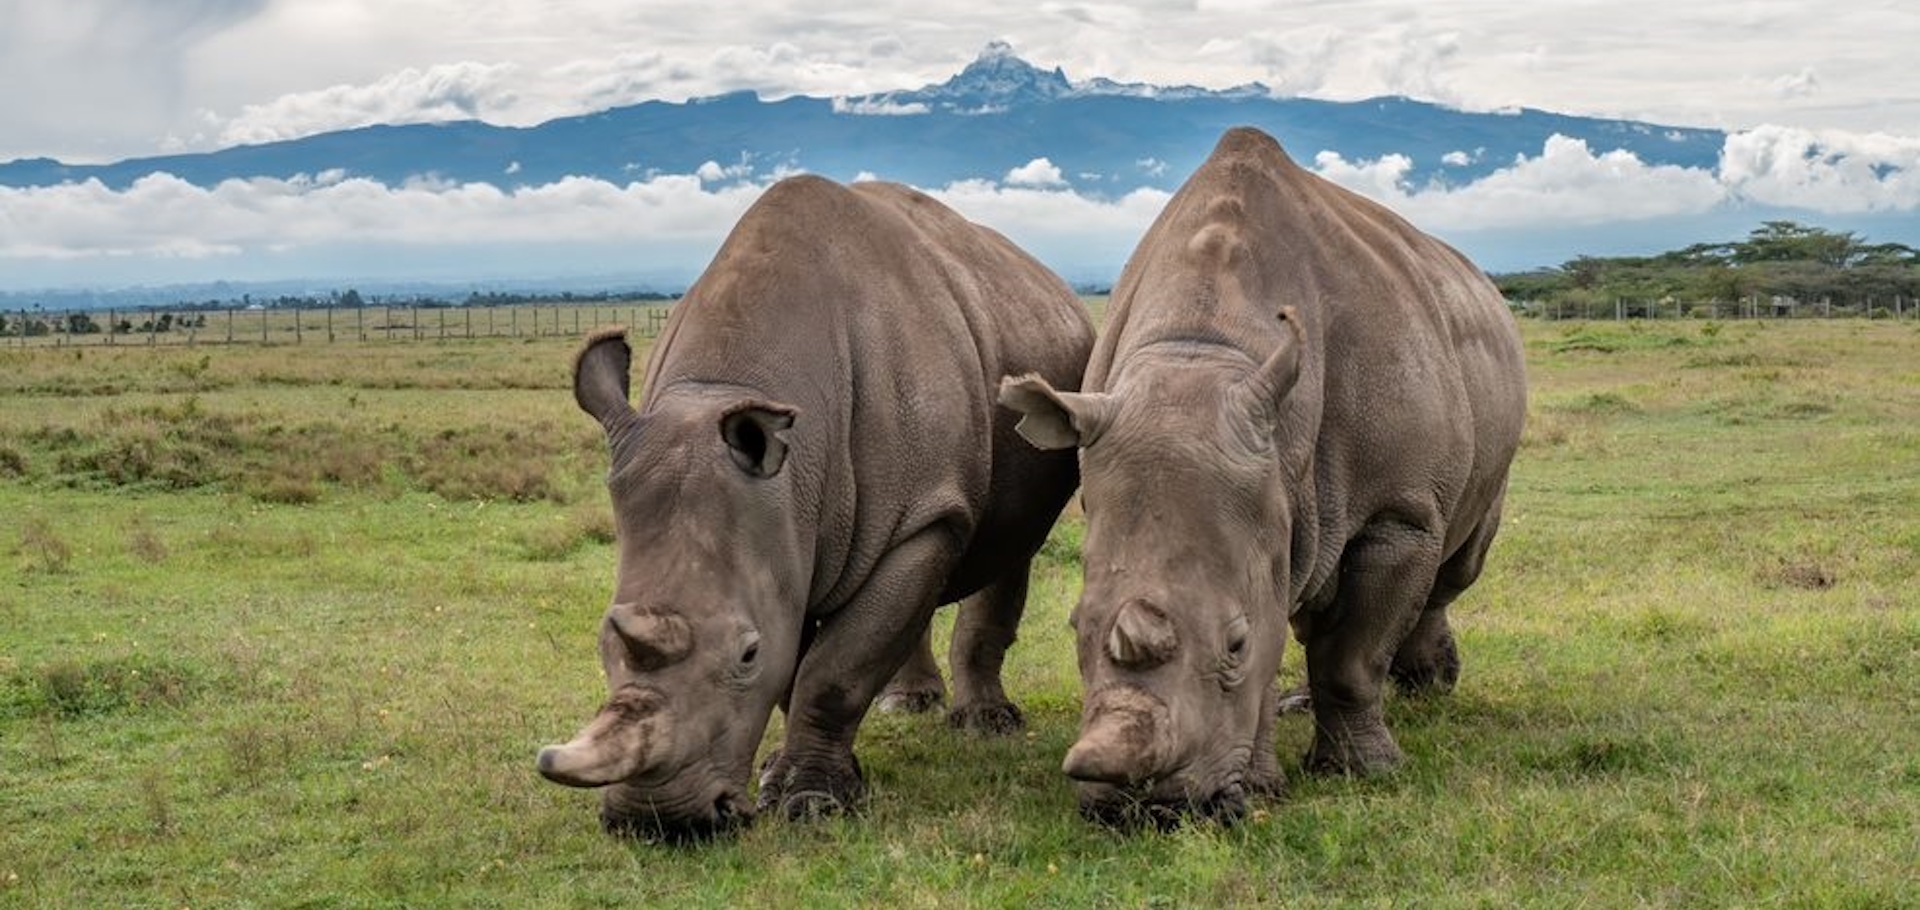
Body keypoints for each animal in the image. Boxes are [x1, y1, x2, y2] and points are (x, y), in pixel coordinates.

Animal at [537, 175, 1094, 839]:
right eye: (603, 642)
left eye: (746, 654)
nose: (658, 821)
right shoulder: (782, 527)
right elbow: (803, 660)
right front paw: (787, 776)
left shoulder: (921, 515)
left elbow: (834, 667)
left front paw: (813, 803)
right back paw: (907, 706)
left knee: (1009, 548)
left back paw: (987, 726)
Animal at [1000, 127, 1526, 825]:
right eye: (1075, 628)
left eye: (1235, 644)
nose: (1145, 810)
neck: (1202, 351)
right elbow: (1283, 625)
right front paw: (1263, 786)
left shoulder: (1399, 512)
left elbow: (1351, 656)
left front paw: (1365, 772)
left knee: (1454, 565)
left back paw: (1426, 689)